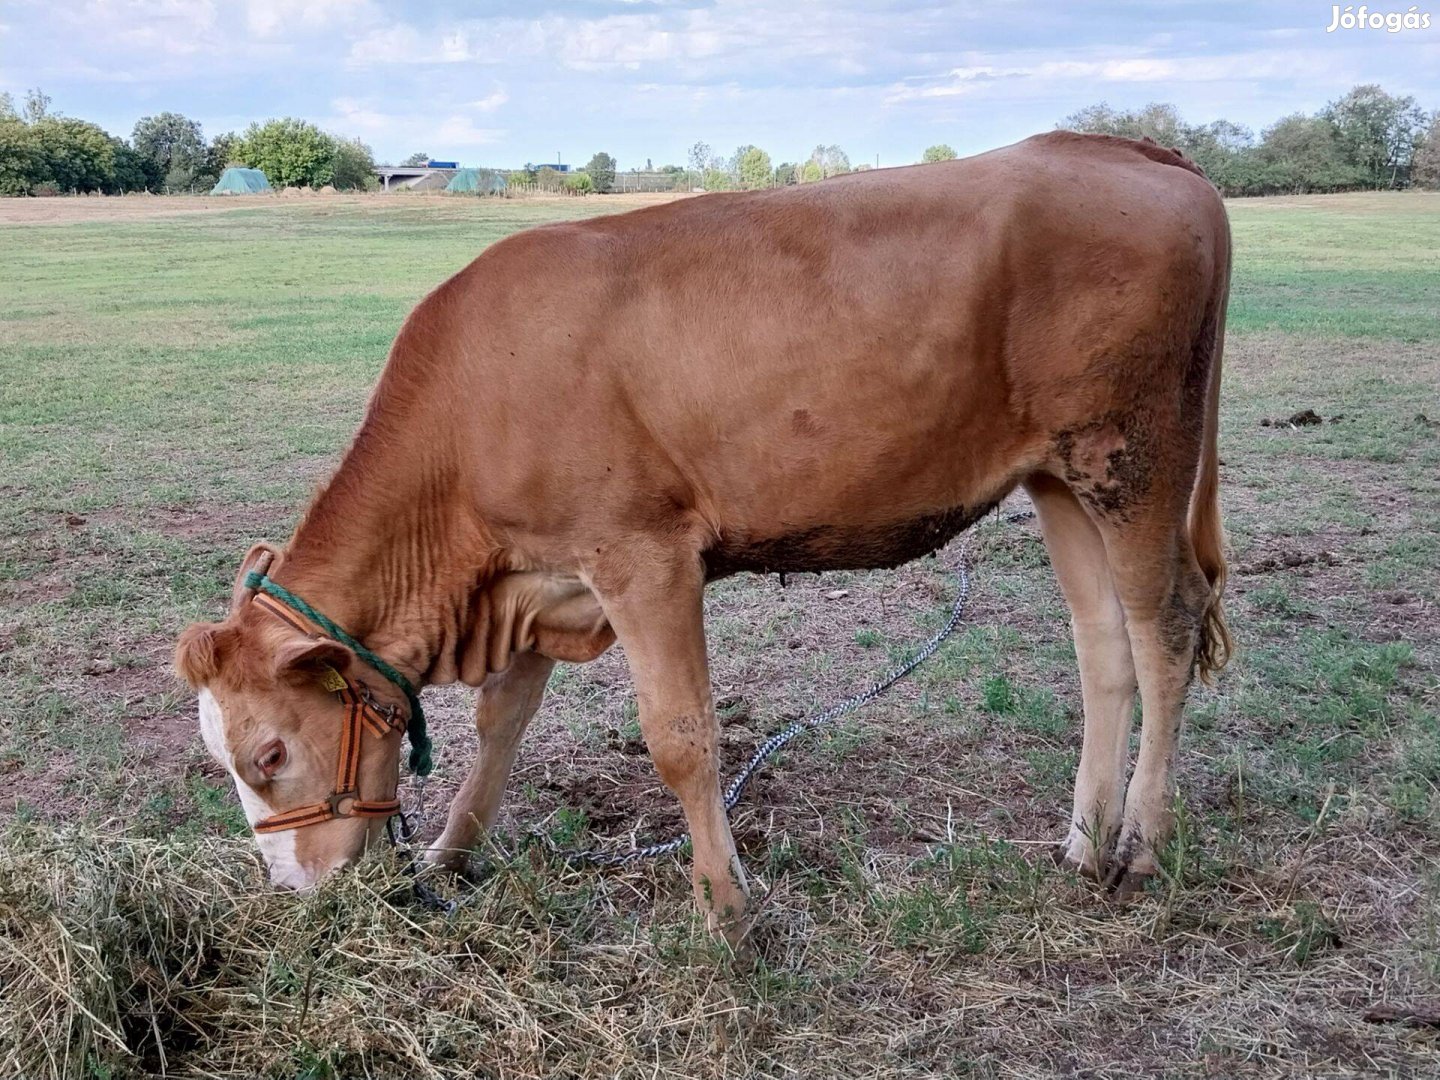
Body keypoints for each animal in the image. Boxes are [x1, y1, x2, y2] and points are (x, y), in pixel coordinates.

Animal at [177, 133, 1226, 944]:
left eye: (267, 756)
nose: (293, 889)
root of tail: (1128, 150)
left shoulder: (641, 555)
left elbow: (680, 735)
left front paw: (725, 908)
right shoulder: (541, 574)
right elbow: (501, 720)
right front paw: (450, 853)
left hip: (1135, 453)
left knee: (1167, 627)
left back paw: (1139, 850)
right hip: (1060, 474)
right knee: (1104, 645)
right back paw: (1083, 843)